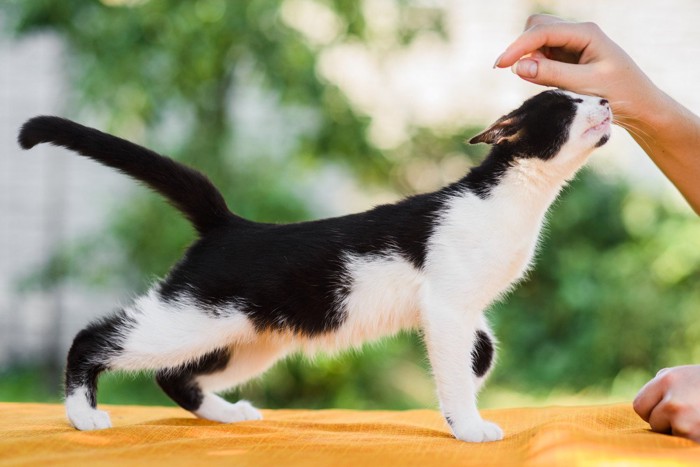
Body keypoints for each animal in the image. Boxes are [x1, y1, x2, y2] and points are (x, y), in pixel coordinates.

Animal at [17, 90, 612, 442]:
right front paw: (467, 425)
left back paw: (228, 414)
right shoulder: (446, 305)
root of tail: (229, 224)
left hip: (248, 338)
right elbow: (454, 368)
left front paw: (470, 384)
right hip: (190, 318)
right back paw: (82, 414)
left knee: (173, 375)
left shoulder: (461, 309)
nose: (605, 97)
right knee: (94, 338)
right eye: (568, 105)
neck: (508, 200)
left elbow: (480, 351)